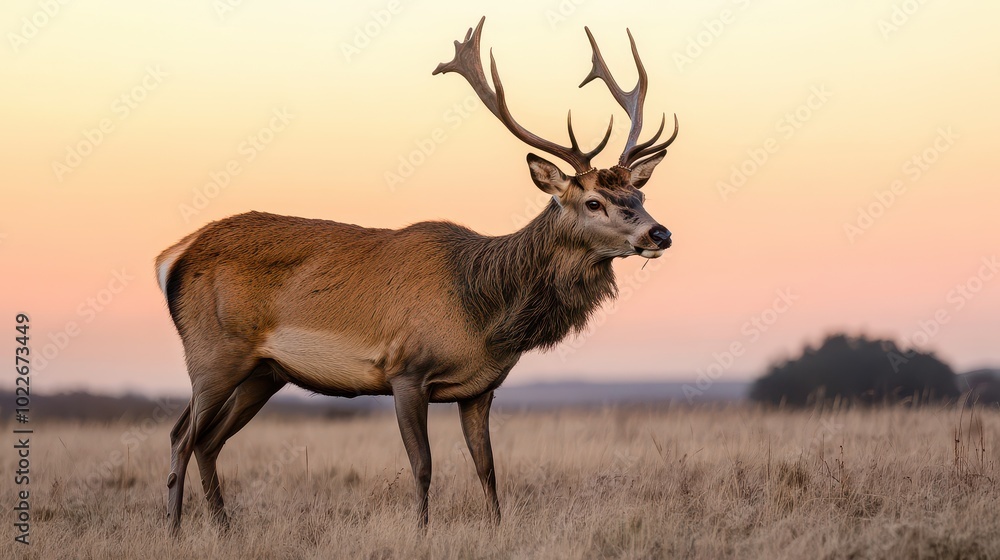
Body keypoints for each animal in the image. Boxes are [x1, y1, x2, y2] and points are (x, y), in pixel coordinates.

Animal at [157, 16, 678, 535]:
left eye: (639, 195)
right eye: (593, 202)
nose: (660, 233)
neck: (482, 313)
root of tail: (172, 256)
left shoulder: (481, 388)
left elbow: (487, 466)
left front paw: (496, 528)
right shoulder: (405, 370)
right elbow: (423, 464)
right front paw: (422, 530)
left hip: (265, 372)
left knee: (209, 440)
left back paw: (224, 528)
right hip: (213, 351)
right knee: (182, 434)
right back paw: (176, 530)